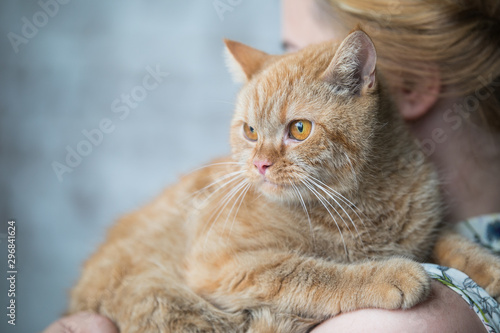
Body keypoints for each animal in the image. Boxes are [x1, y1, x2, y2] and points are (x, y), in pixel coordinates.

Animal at [67, 29, 500, 330]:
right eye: (250, 131)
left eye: (300, 129)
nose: (259, 164)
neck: (366, 201)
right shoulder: (224, 263)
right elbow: (310, 272)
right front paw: (389, 273)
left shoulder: (424, 230)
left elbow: (452, 243)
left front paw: (489, 268)